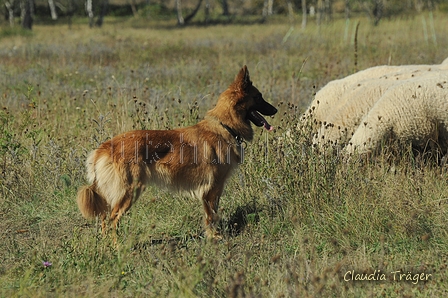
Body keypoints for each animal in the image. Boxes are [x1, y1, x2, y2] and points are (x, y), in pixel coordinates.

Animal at [77, 66, 276, 240]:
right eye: (259, 97)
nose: (276, 110)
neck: (224, 125)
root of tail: (105, 146)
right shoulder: (214, 188)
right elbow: (212, 215)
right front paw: (215, 236)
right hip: (130, 191)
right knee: (113, 218)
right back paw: (117, 246)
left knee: (104, 217)